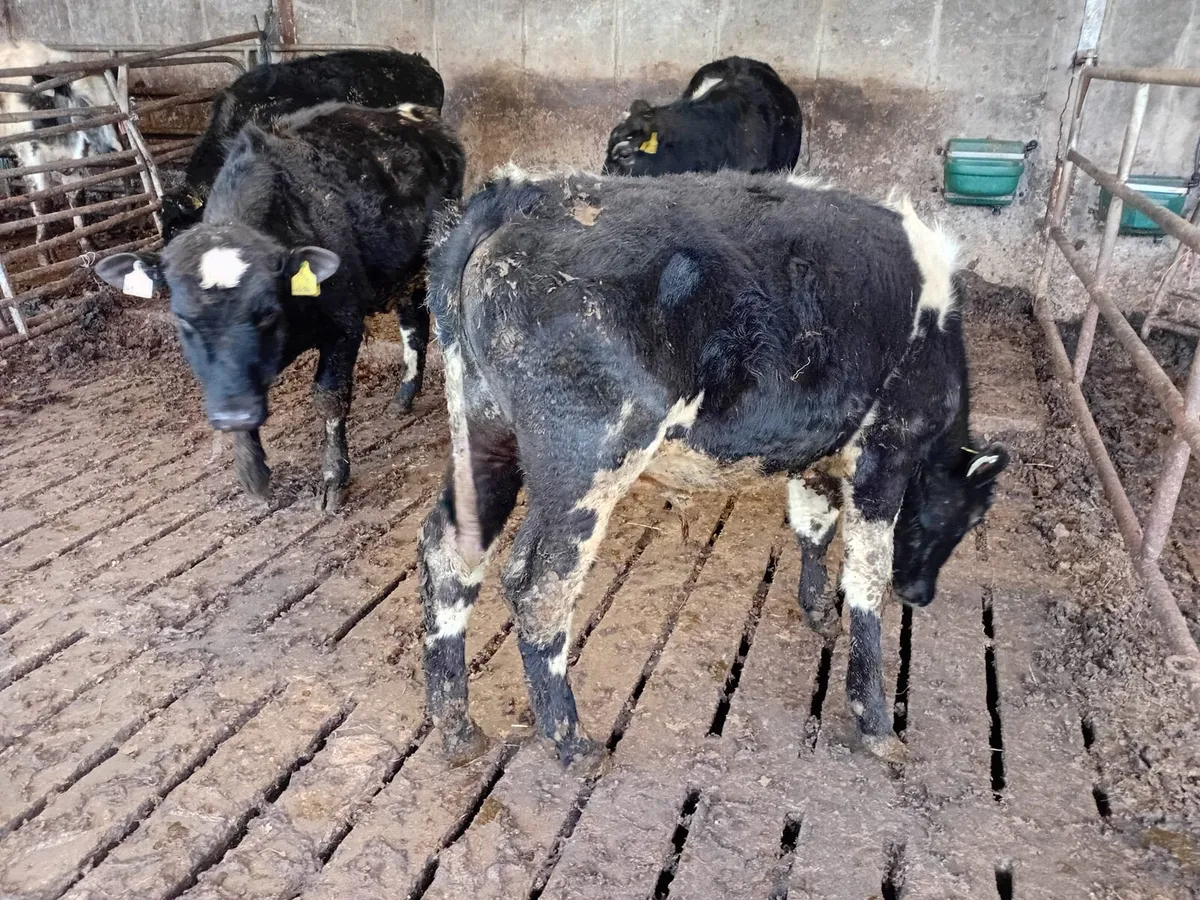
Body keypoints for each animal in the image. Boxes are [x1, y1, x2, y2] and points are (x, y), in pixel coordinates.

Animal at [0, 41, 123, 260]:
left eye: (112, 105)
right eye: (84, 103)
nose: (113, 148)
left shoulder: (74, 161)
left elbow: (77, 197)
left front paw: (87, 243)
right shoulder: (30, 159)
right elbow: (43, 203)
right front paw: (44, 252)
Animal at [95, 103, 465, 512]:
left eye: (266, 313)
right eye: (184, 321)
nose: (233, 414)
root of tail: (417, 115)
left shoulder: (344, 324)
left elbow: (330, 398)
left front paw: (333, 479)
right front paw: (253, 475)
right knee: (412, 321)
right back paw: (402, 398)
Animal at [417, 167, 1009, 771]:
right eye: (961, 520)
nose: (921, 595)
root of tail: (522, 195)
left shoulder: (816, 452)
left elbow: (813, 528)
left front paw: (819, 613)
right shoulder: (887, 451)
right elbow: (868, 580)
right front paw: (876, 722)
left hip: (483, 435)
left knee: (450, 554)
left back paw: (457, 729)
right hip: (587, 461)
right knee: (539, 586)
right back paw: (573, 742)